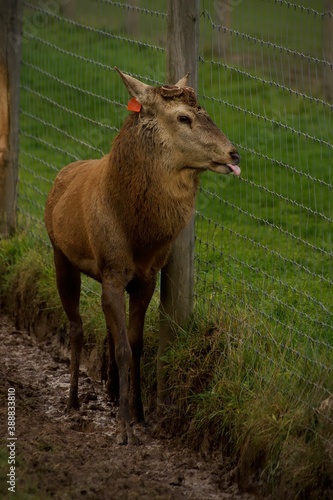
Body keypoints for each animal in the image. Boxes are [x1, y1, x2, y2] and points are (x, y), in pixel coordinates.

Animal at [44, 67, 240, 446]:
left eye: (205, 111)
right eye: (184, 117)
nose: (234, 154)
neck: (138, 235)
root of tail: (61, 174)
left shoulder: (147, 275)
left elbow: (135, 345)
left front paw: (140, 415)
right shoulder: (112, 270)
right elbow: (122, 347)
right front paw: (124, 429)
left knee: (105, 329)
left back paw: (108, 390)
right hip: (60, 254)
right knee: (75, 326)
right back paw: (73, 401)